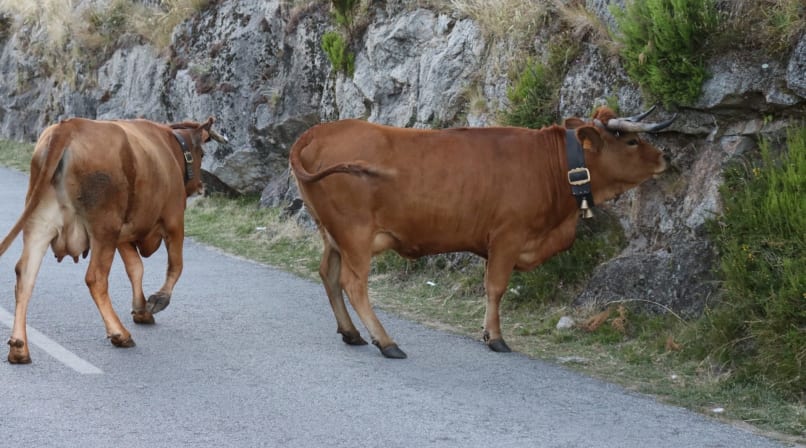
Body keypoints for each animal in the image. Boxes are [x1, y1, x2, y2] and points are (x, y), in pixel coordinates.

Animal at [0, 116, 228, 364]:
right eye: (202, 154)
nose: (201, 186)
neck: (169, 145)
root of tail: (68, 126)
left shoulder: (124, 234)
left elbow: (135, 268)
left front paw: (141, 310)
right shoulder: (174, 219)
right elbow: (176, 265)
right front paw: (158, 300)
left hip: (40, 222)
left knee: (25, 275)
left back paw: (19, 348)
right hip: (104, 227)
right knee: (96, 278)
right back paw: (120, 334)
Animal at [289, 106, 676, 359]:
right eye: (631, 142)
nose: (665, 158)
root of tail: (317, 131)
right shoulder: (507, 236)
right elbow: (496, 287)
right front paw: (495, 337)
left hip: (333, 234)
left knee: (328, 274)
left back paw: (352, 333)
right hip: (355, 233)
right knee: (353, 284)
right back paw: (386, 342)